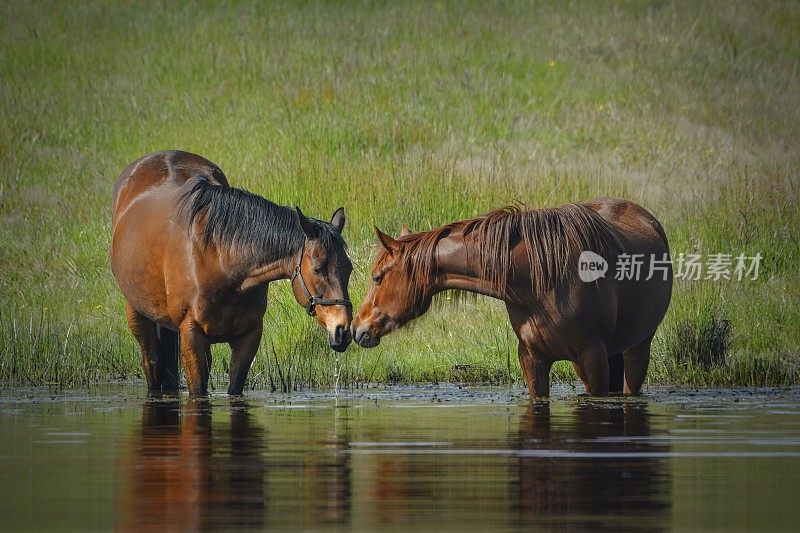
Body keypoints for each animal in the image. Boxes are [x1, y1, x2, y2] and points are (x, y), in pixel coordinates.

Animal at [111, 150, 352, 394]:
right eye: (317, 268)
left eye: (349, 269)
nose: (342, 330)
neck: (221, 259)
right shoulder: (191, 334)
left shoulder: (248, 337)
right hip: (137, 312)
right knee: (150, 364)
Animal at [354, 197, 672, 396]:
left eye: (377, 277)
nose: (357, 328)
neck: (539, 282)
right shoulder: (532, 360)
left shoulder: (593, 358)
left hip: (637, 347)